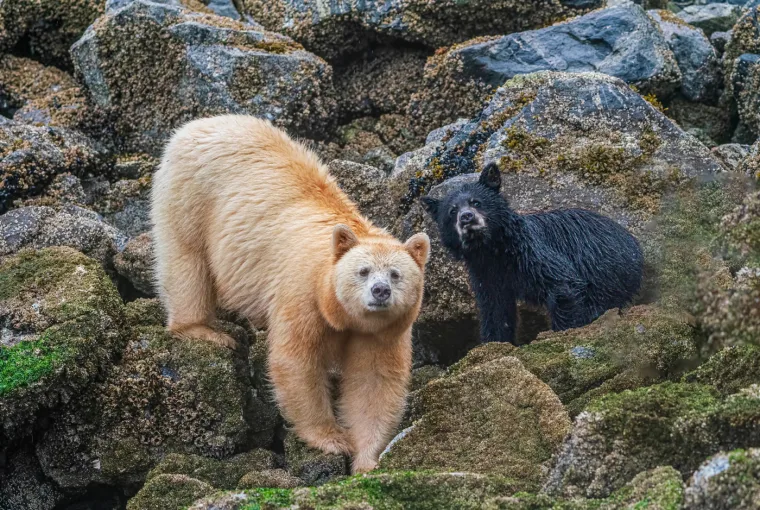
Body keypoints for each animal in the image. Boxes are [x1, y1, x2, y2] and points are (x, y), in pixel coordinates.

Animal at [151, 113, 430, 472]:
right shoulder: (302, 291)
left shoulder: (384, 331)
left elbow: (374, 381)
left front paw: (368, 461)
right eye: (363, 271)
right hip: (191, 194)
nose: (380, 291)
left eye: (396, 275)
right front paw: (332, 438)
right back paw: (202, 329)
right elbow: (296, 361)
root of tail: (202, 123)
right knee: (187, 260)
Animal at [422, 163, 640, 346]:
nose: (466, 217)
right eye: (452, 211)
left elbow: (563, 284)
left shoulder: (531, 253)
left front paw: (564, 331)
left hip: (607, 271)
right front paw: (494, 342)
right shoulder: (485, 274)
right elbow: (495, 310)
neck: (493, 250)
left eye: (476, 202)